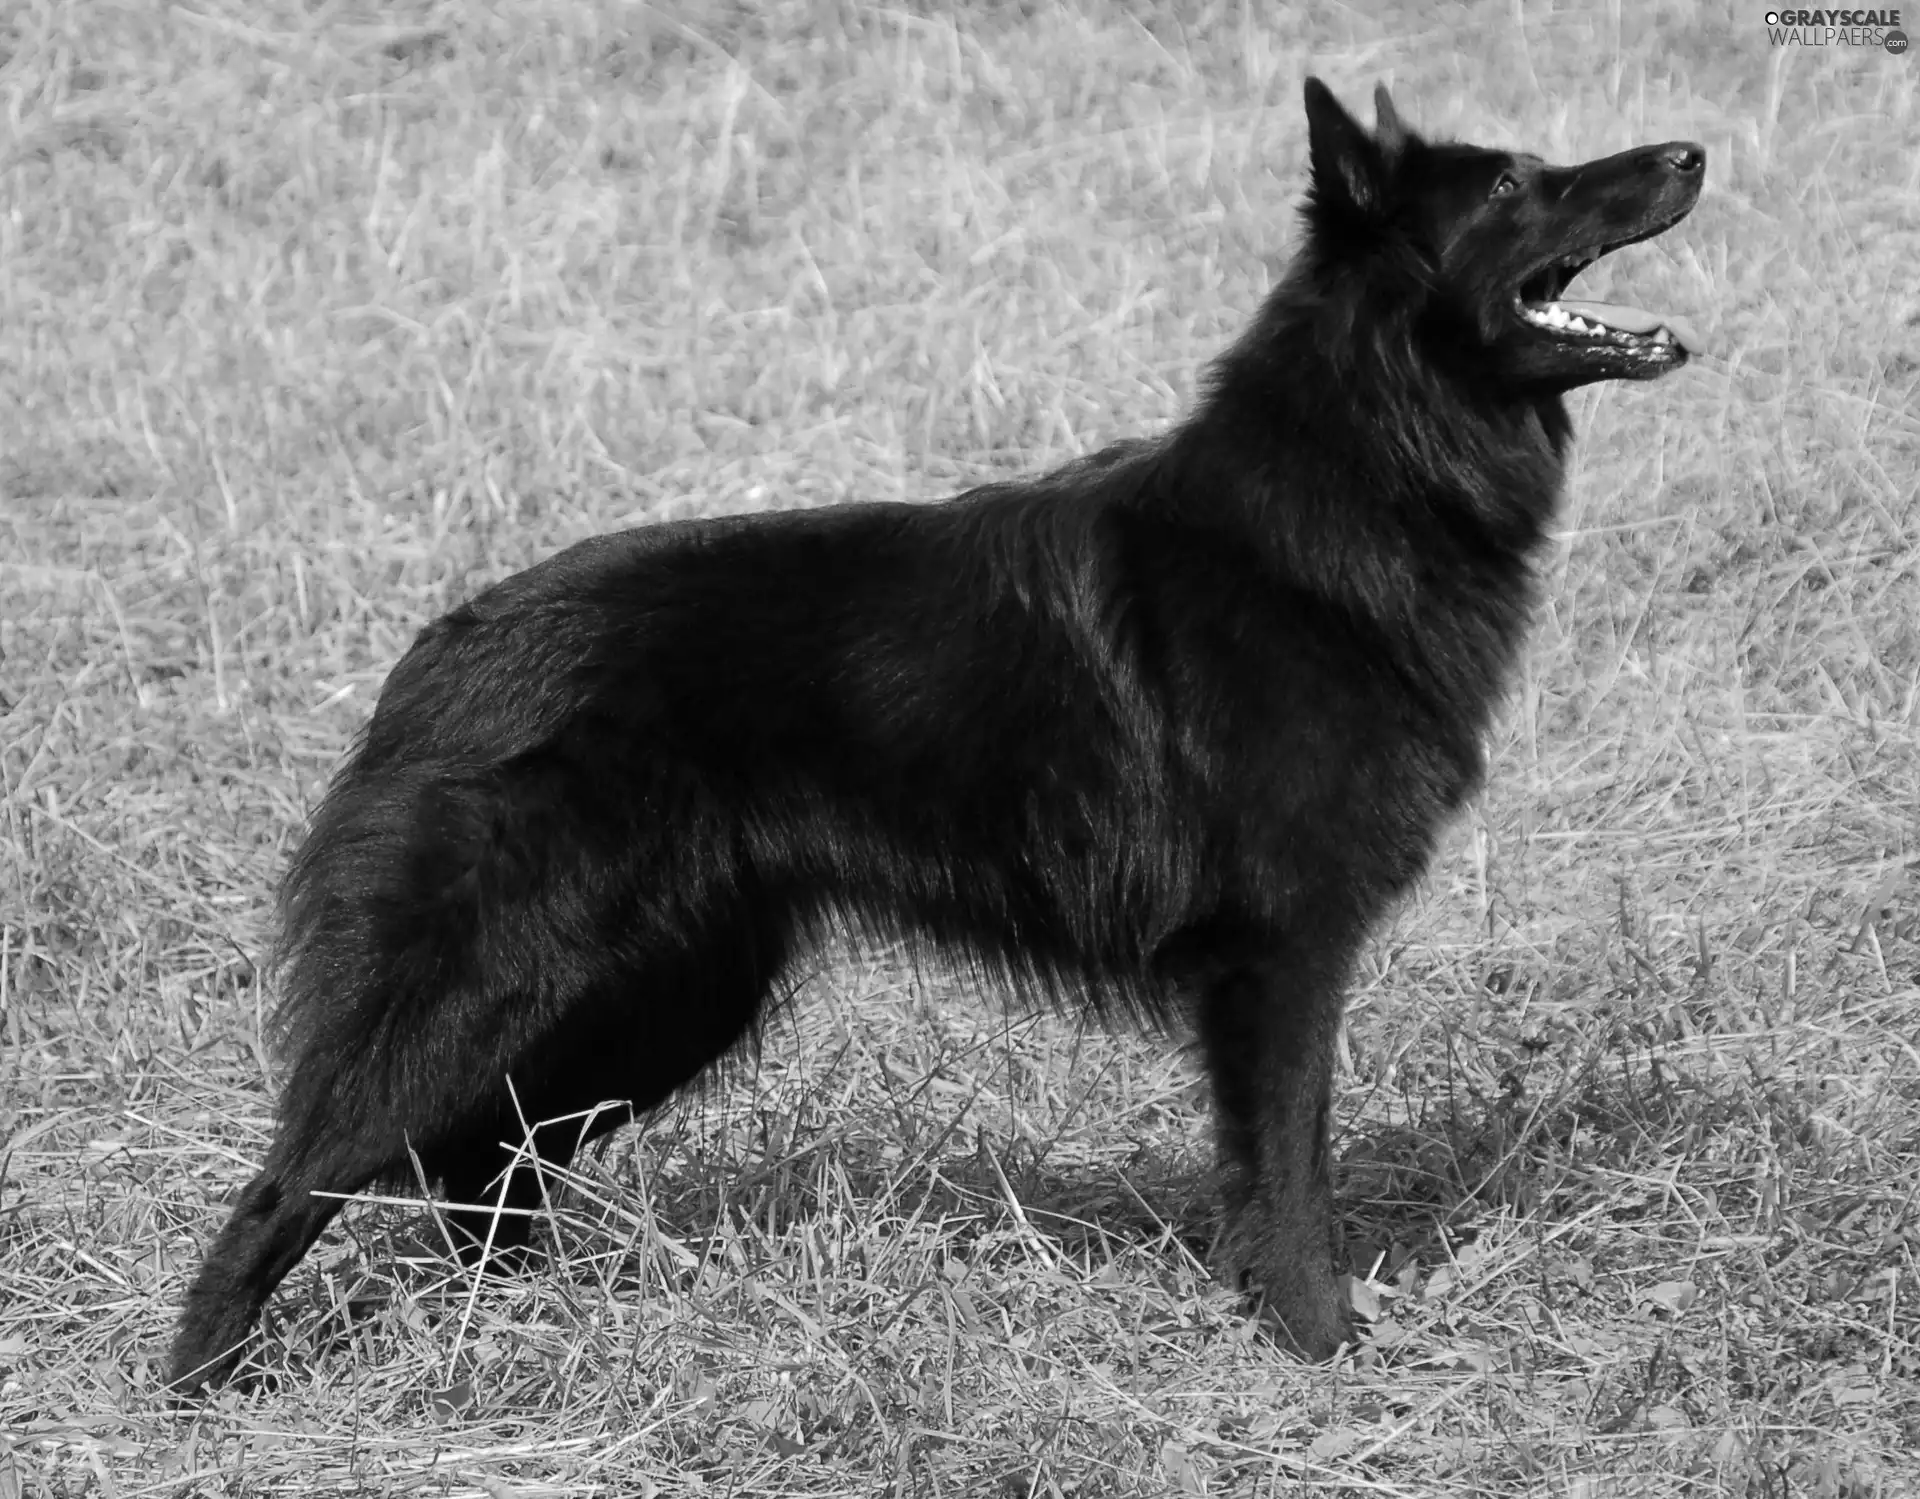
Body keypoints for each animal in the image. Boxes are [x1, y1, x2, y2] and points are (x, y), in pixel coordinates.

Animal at [161, 82, 1697, 1389]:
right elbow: (1291, 1173)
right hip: (514, 988)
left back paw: (543, 1319)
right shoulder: (1282, 958)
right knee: (308, 1169)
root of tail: (440, 648)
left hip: (667, 994)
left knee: (489, 1164)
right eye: (1514, 184)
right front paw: (1322, 1347)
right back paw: (201, 1377)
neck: (1366, 470)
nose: (1692, 152)